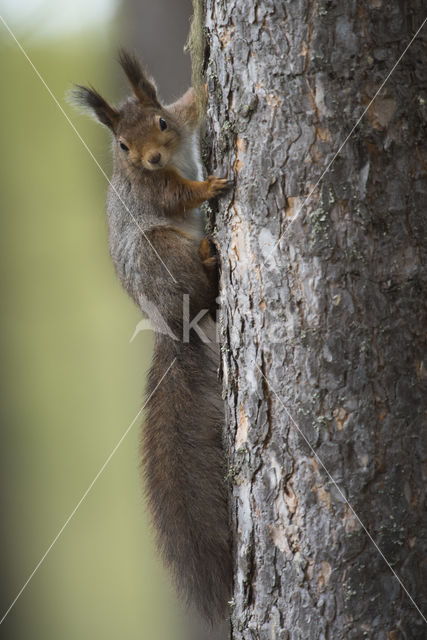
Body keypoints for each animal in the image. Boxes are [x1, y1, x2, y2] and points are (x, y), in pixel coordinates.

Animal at [74, 51, 234, 624]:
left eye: (161, 122)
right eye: (122, 146)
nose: (151, 158)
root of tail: (170, 323)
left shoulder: (182, 120)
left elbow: (193, 102)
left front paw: (205, 79)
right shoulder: (151, 191)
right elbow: (174, 194)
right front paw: (208, 189)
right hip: (160, 254)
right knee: (200, 288)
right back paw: (208, 260)